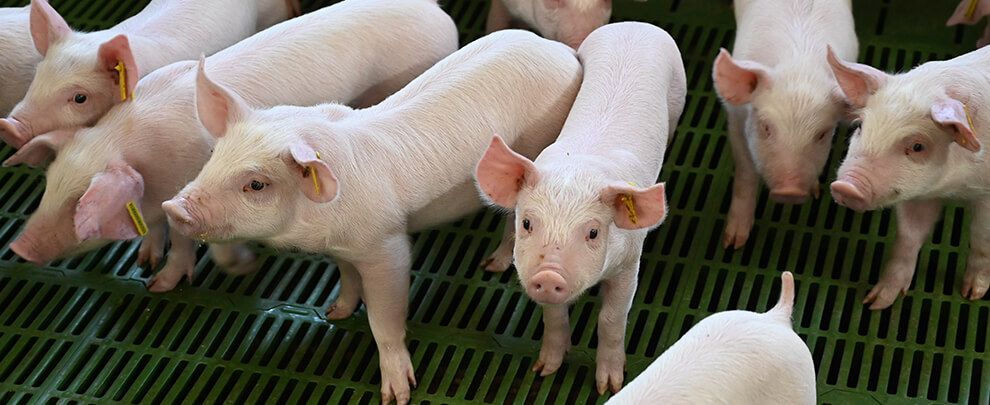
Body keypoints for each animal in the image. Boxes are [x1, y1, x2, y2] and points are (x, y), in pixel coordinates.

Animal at [161, 30, 582, 404]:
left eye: (256, 184)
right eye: (214, 155)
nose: (173, 207)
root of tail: (561, 51)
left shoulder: (387, 247)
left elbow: (383, 320)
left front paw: (397, 395)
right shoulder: (343, 249)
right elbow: (347, 277)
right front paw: (336, 312)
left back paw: (492, 265)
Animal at [474, 22, 685, 394]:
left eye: (593, 232)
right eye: (527, 223)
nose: (548, 275)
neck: (578, 170)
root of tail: (634, 25)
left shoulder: (630, 262)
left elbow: (612, 318)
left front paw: (610, 386)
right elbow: (553, 316)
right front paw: (544, 370)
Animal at [713, 0, 858, 248]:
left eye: (822, 134)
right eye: (765, 127)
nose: (790, 191)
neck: (799, 69)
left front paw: (815, 191)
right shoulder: (735, 117)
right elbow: (745, 171)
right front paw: (733, 243)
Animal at [827, 46, 990, 309]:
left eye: (917, 146)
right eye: (860, 125)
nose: (845, 187)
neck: (954, 188)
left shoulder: (986, 195)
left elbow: (981, 237)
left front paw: (972, 294)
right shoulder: (918, 195)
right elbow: (908, 237)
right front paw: (875, 303)